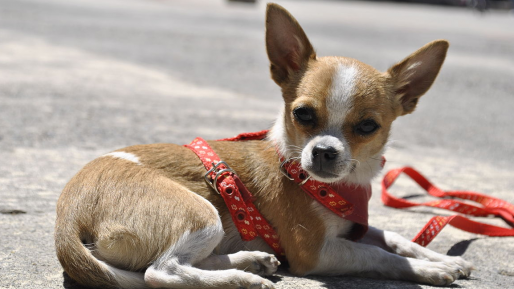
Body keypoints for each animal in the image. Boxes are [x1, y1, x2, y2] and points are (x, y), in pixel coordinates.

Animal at [54, 2, 470, 288]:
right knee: (162, 272)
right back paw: (241, 278)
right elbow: (378, 254)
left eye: (368, 126)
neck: (340, 186)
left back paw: (249, 260)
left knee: (183, 263)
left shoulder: (352, 226)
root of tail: (67, 213)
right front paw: (429, 269)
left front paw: (439, 258)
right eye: (302, 114)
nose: (323, 152)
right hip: (202, 213)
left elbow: (393, 237)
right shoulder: (315, 252)